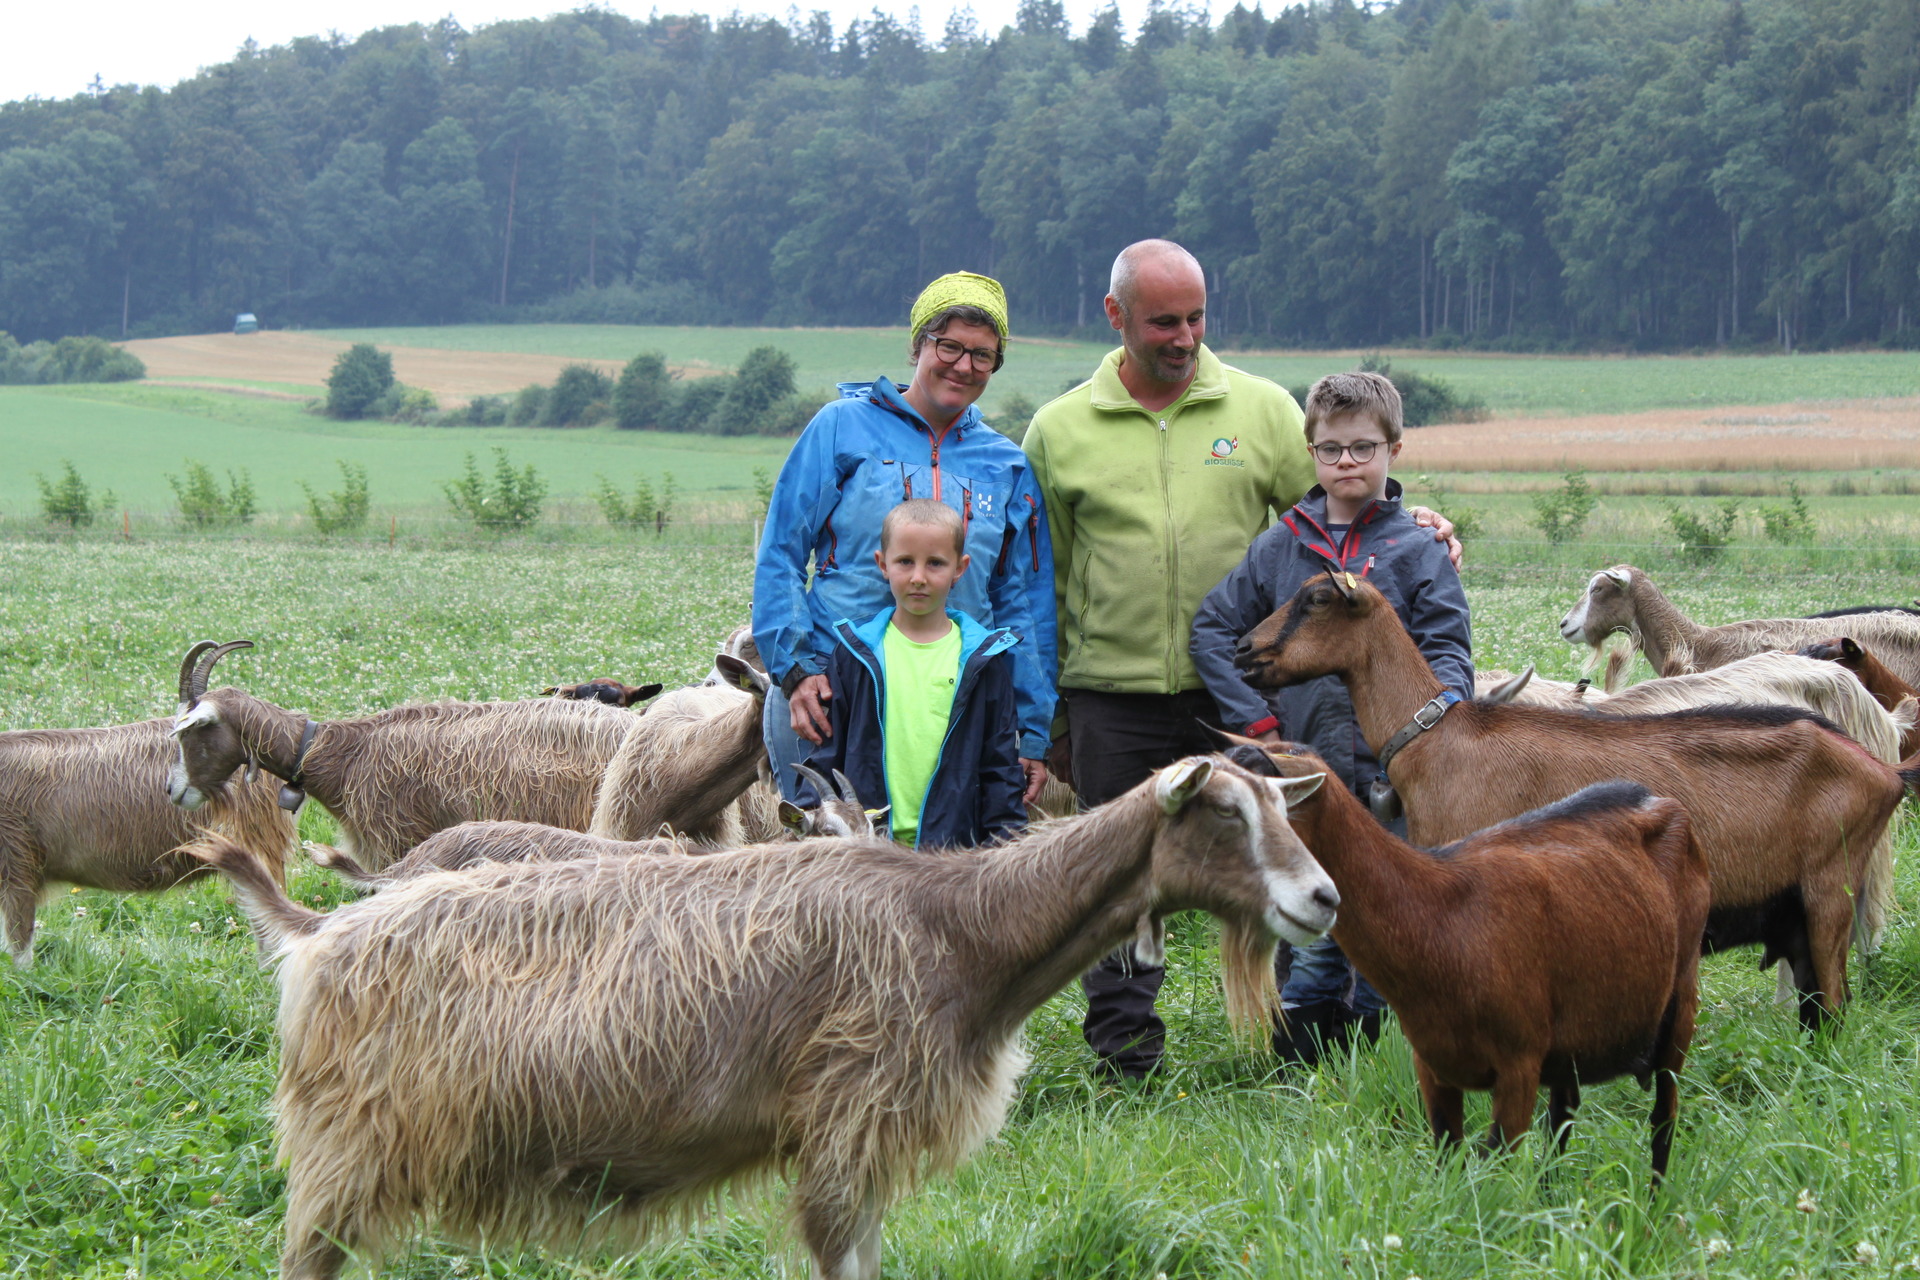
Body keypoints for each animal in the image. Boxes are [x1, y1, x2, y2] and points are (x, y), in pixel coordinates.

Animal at [194, 759, 1336, 1280]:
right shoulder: (846, 1121)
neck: (960, 928)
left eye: (1283, 805)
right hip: (345, 1147)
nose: (1323, 898)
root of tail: (318, 930)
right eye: (1221, 812)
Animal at [1228, 740, 1712, 1189]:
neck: (1443, 915)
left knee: (1663, 1118)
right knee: (1564, 1116)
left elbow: (1493, 1164)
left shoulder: (1519, 1065)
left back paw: (1654, 1206)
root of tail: (1659, 800)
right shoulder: (1432, 1064)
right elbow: (1449, 1158)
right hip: (1573, 1037)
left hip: (1680, 1003)